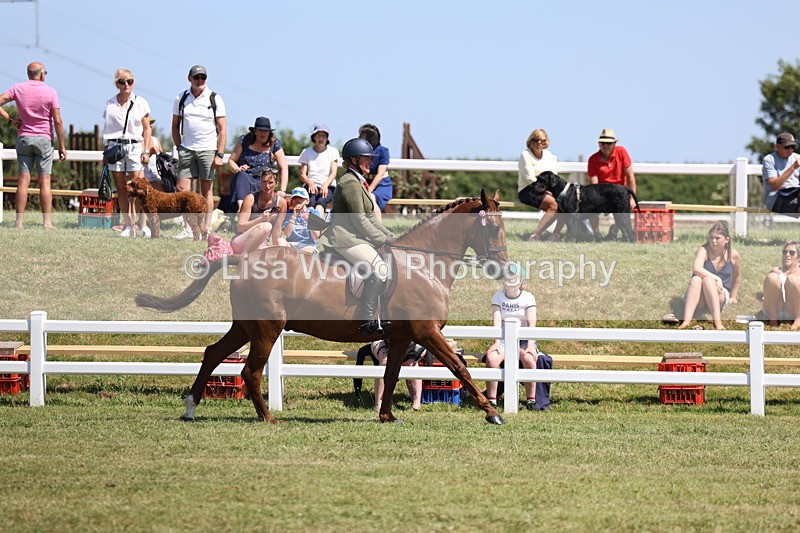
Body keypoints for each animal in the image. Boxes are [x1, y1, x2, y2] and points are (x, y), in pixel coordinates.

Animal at [135, 189, 510, 424]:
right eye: (492, 227)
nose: (503, 268)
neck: (424, 263)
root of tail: (243, 259)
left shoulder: (403, 338)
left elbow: (390, 375)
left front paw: (387, 415)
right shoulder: (427, 332)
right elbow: (460, 368)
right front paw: (492, 412)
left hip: (245, 326)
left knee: (213, 353)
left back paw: (190, 409)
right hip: (266, 329)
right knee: (250, 371)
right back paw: (268, 418)